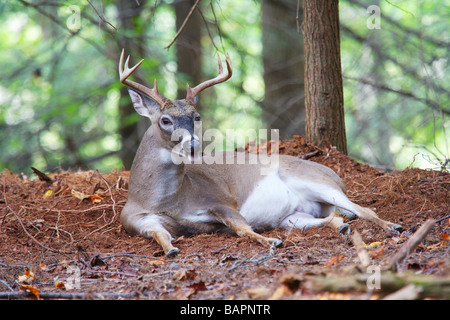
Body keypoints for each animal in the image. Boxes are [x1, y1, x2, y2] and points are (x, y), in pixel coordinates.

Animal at [118, 49, 400, 258]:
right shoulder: (139, 221)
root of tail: (334, 173)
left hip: (315, 181)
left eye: (196, 116)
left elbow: (242, 227)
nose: (193, 146)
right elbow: (161, 234)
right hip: (294, 217)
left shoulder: (219, 200)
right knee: (332, 216)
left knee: (363, 209)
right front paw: (171, 249)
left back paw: (393, 226)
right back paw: (342, 226)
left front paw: (270, 242)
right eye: (165, 120)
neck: (165, 201)